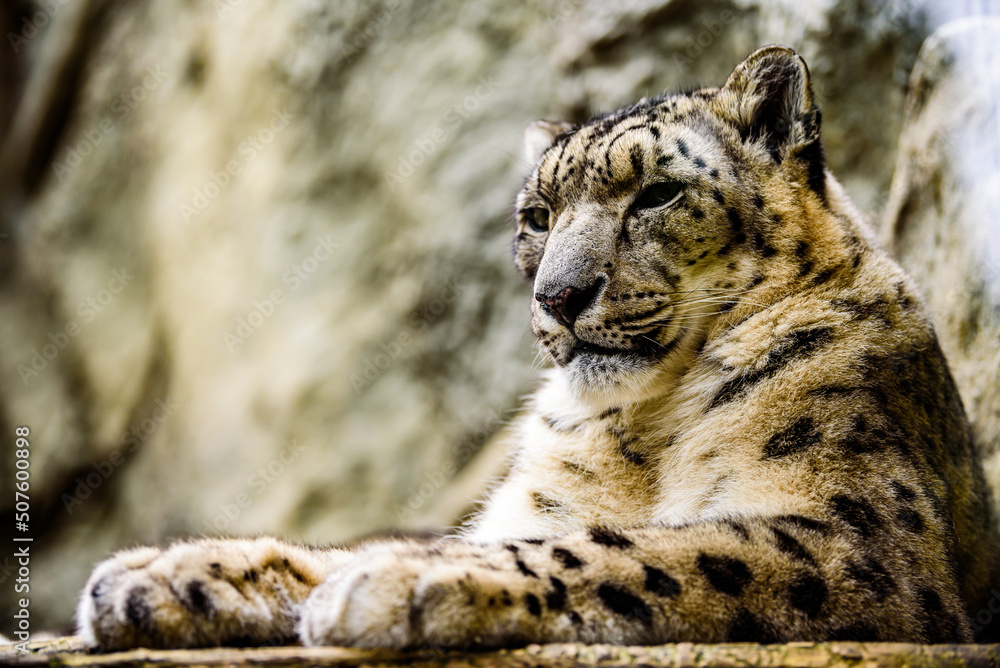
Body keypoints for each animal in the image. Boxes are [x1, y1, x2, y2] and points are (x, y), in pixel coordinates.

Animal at [77, 45, 1000, 650]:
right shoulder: (527, 507)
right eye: (536, 216)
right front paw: (165, 575)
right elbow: (401, 540)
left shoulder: (855, 534)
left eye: (658, 193)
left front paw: (403, 581)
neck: (644, 429)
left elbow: (642, 548)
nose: (558, 294)